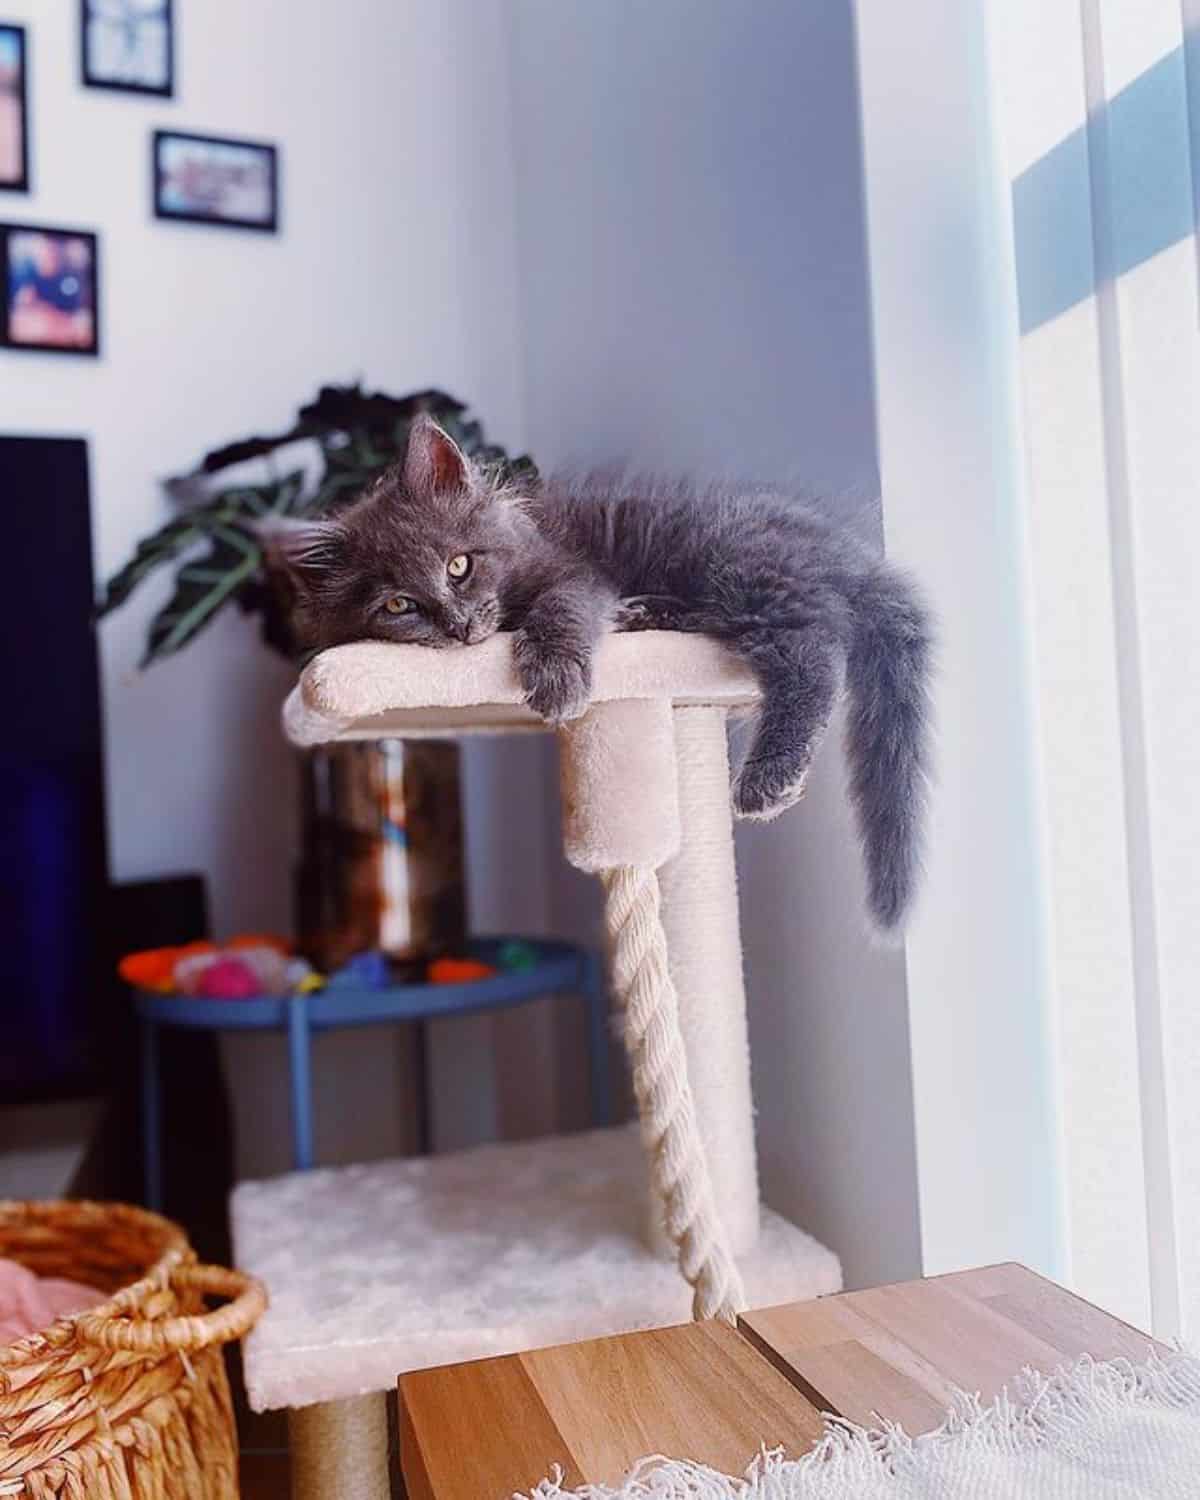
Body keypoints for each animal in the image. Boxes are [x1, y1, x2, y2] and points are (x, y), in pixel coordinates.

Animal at [274, 411, 936, 924]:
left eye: (459, 566)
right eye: (399, 606)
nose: (459, 625)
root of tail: (841, 547)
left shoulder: (575, 574)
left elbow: (561, 608)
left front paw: (556, 674)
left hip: (736, 565)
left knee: (812, 651)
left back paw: (768, 777)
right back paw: (648, 614)